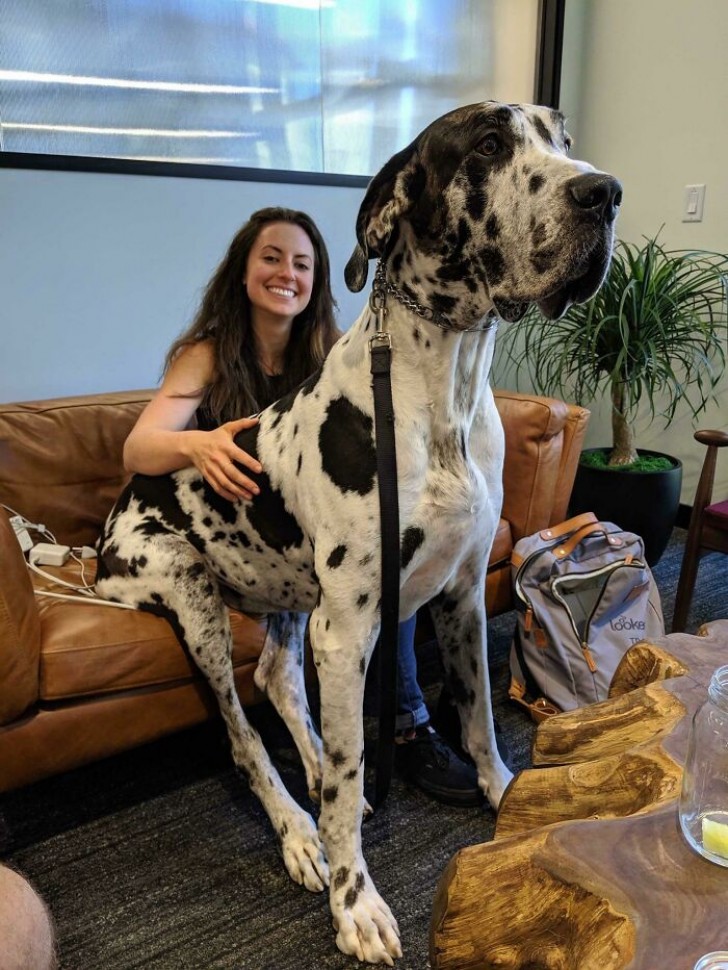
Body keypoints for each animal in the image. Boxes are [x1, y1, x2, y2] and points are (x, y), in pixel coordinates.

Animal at [95, 102, 620, 964]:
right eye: (487, 145)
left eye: (564, 139)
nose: (604, 193)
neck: (447, 385)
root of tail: (113, 511)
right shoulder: (348, 631)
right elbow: (351, 774)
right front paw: (355, 902)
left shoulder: (460, 594)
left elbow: (478, 718)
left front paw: (508, 796)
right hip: (192, 592)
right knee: (243, 731)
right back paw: (298, 829)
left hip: (287, 585)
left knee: (277, 675)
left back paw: (308, 769)